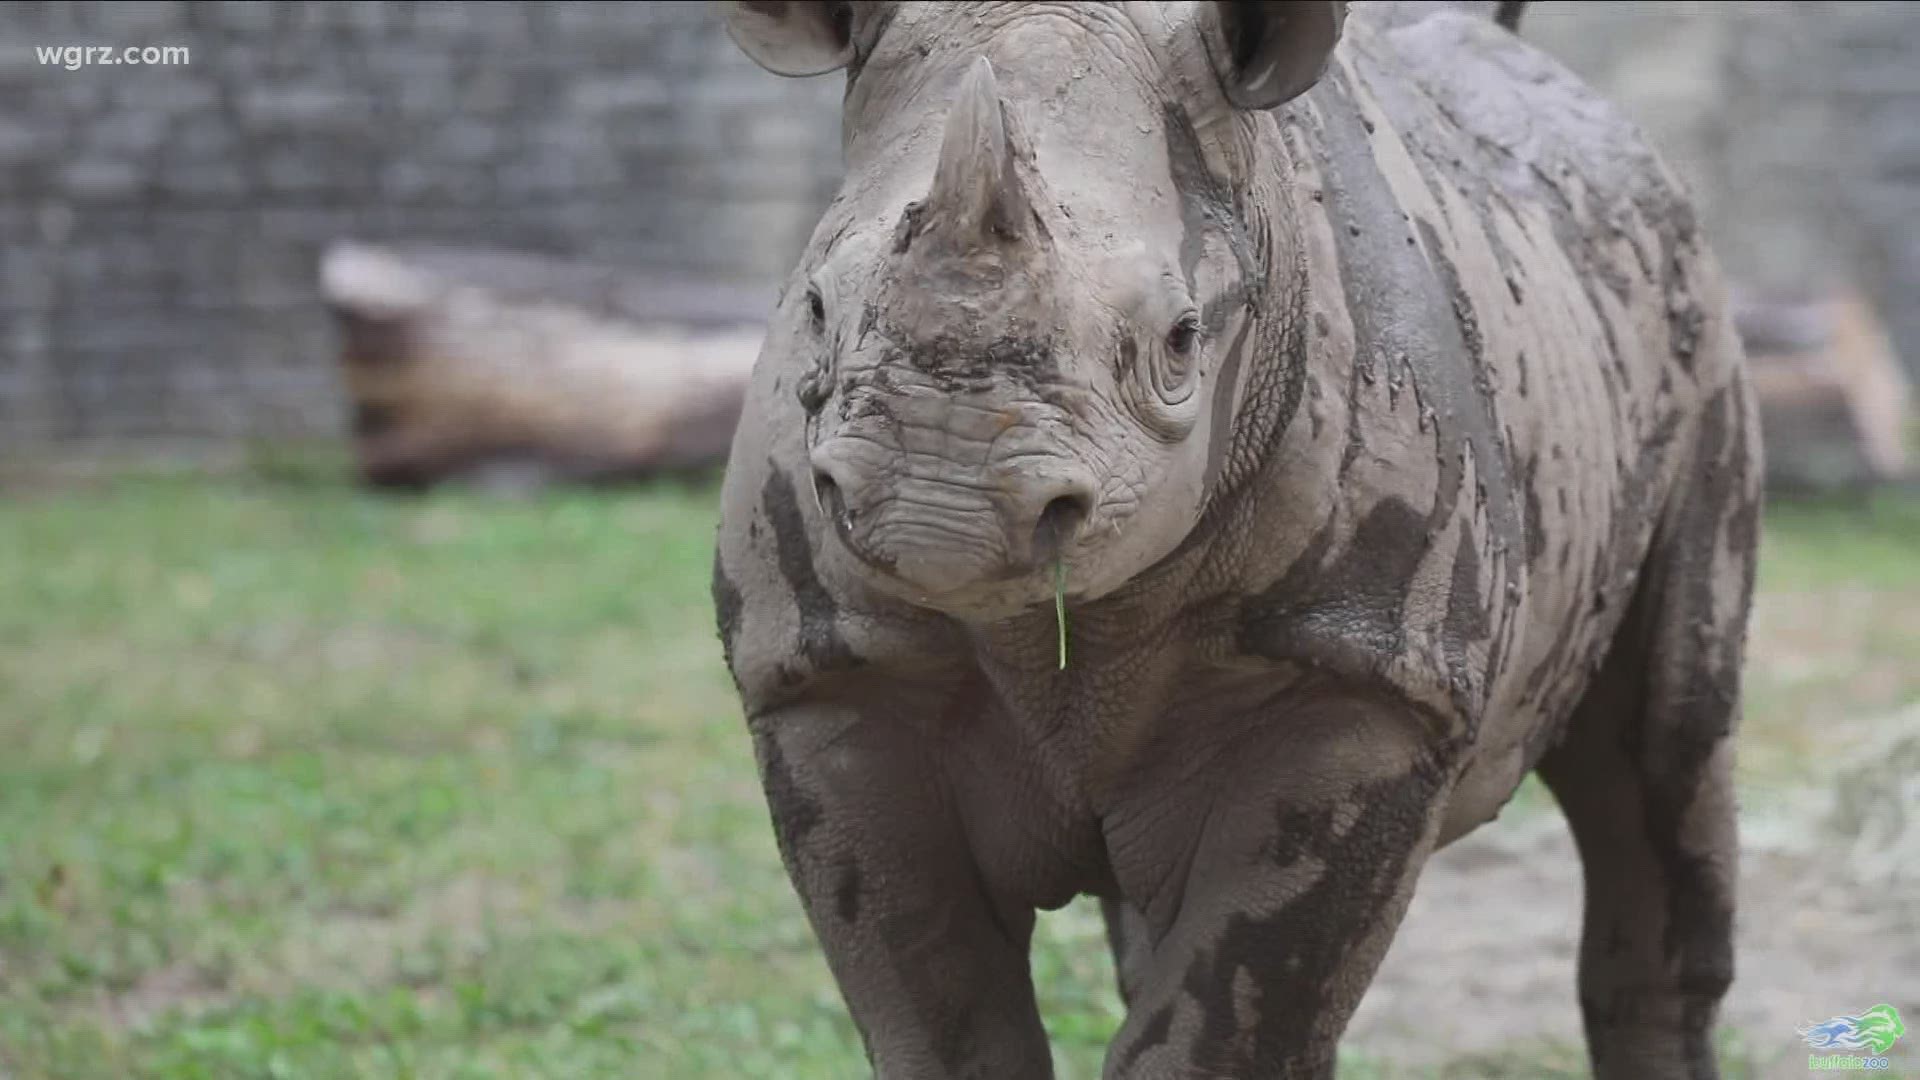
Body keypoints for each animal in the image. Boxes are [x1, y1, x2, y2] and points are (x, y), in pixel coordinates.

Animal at [706, 4, 1758, 1068]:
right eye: (815, 306)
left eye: (1180, 340)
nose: (936, 505)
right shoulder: (833, 674)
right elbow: (945, 1028)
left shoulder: (1361, 682)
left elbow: (1216, 1032)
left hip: (1693, 323)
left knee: (1668, 747)